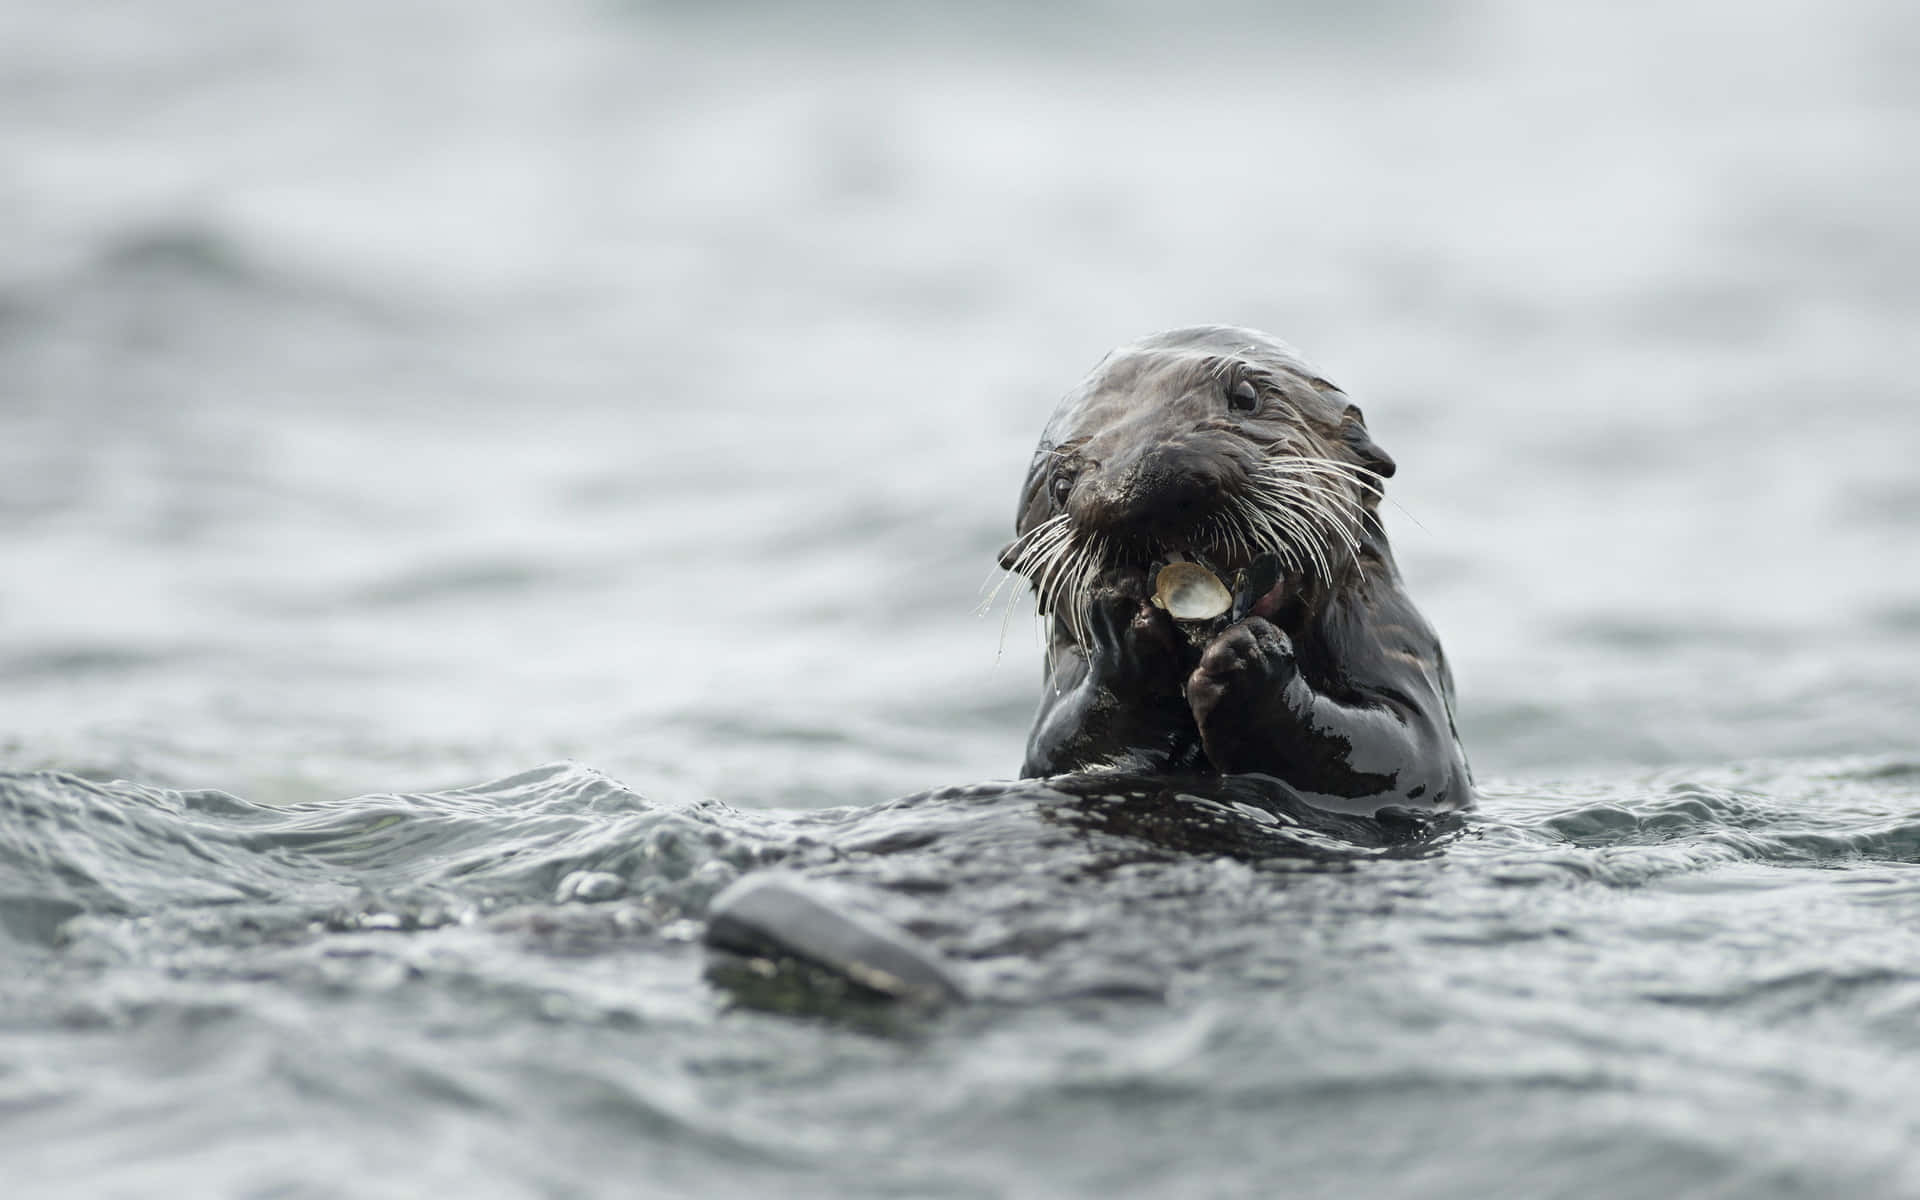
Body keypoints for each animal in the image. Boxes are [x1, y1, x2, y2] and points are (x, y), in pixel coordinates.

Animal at [1000, 326, 1471, 814]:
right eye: (1060, 485)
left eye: (1245, 396)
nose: (1141, 482)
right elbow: (1061, 746)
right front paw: (1125, 637)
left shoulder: (1394, 641)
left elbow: (1408, 751)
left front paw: (1250, 657)